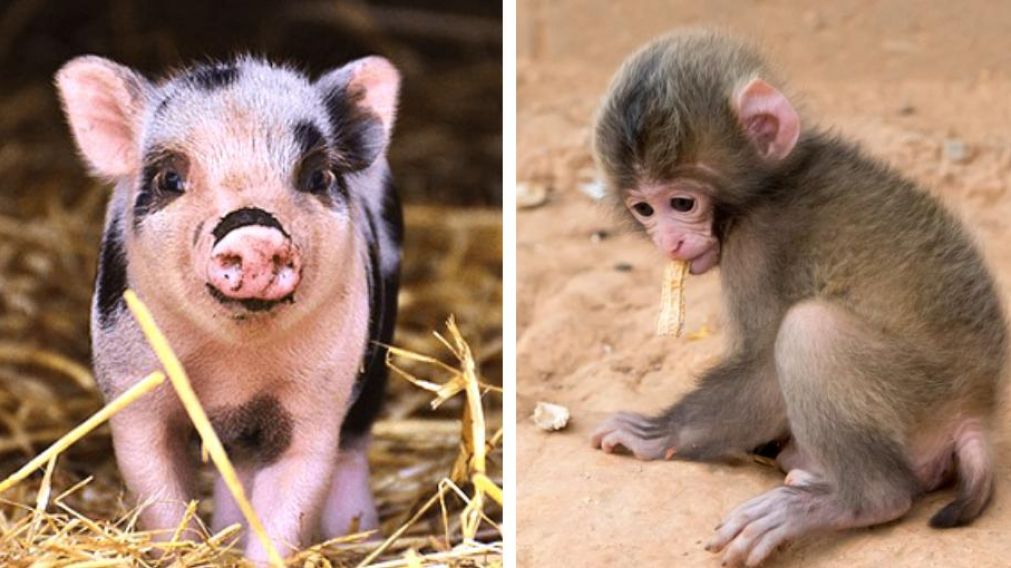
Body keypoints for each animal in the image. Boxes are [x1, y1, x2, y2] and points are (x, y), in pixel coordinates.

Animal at [55, 53, 402, 561]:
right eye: (169, 178)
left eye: (317, 176)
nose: (255, 235)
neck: (233, 368)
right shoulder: (133, 389)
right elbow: (159, 494)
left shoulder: (317, 400)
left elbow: (291, 499)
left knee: (351, 449)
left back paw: (361, 540)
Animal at [588, 29, 1007, 567]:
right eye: (644, 209)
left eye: (682, 202)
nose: (670, 241)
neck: (772, 182)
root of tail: (976, 407)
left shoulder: (757, 242)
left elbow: (764, 365)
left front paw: (658, 434)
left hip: (922, 392)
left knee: (811, 329)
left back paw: (855, 500)